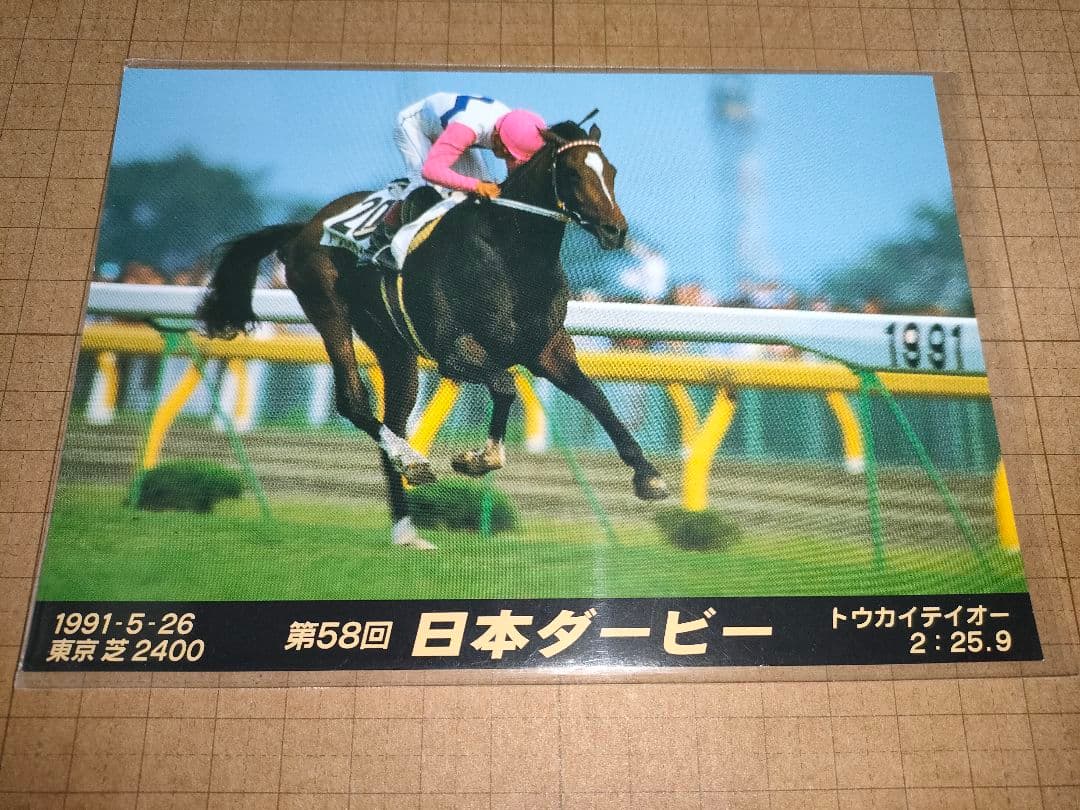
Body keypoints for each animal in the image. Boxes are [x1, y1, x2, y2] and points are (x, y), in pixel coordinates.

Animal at [197, 119, 670, 549]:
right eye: (572, 172)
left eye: (611, 170)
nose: (615, 230)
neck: (510, 253)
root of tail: (305, 227)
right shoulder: (454, 351)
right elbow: (505, 386)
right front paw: (481, 458)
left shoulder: (548, 348)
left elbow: (595, 397)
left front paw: (648, 476)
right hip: (328, 309)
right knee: (352, 401)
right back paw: (414, 464)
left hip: (393, 345)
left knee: (393, 418)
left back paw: (406, 530)